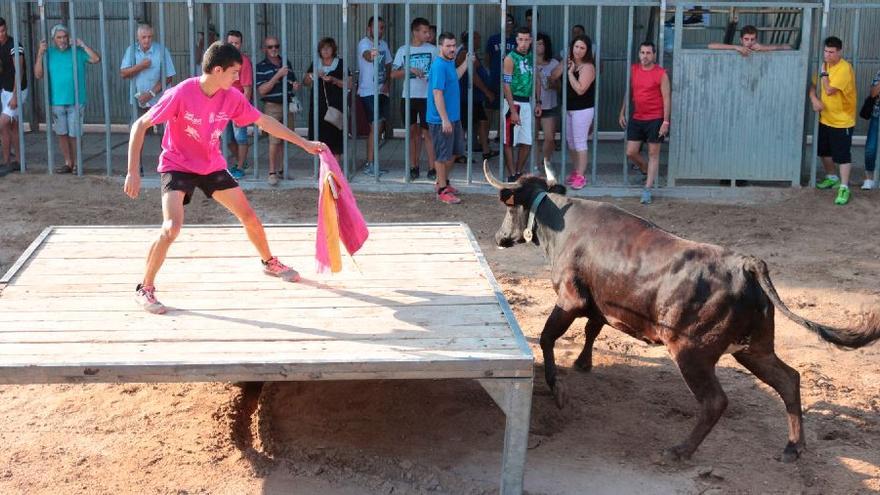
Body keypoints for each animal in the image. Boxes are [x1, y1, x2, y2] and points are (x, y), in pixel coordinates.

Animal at [484, 163, 880, 464]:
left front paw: (558, 387)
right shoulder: (601, 302)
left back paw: (679, 451)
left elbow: (549, 337)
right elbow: (593, 330)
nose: (499, 237)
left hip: (692, 352)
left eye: (508, 208)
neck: (562, 223)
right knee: (788, 380)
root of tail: (746, 264)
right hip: (754, 347)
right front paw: (583, 364)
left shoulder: (571, 300)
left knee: (716, 401)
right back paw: (793, 447)